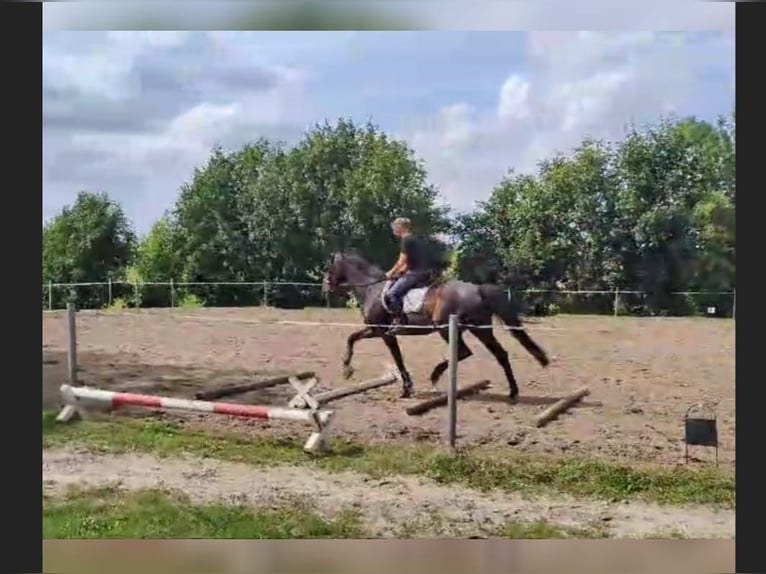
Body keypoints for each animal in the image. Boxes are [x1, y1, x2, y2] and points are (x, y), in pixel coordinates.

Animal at [324, 254, 552, 402]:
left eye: (329, 269)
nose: (327, 287)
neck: (373, 289)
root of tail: (478, 289)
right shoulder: (374, 330)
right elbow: (352, 338)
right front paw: (347, 369)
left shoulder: (383, 333)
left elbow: (397, 358)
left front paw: (406, 389)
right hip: (480, 329)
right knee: (500, 354)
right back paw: (513, 392)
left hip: (447, 329)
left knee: (463, 352)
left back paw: (435, 375)